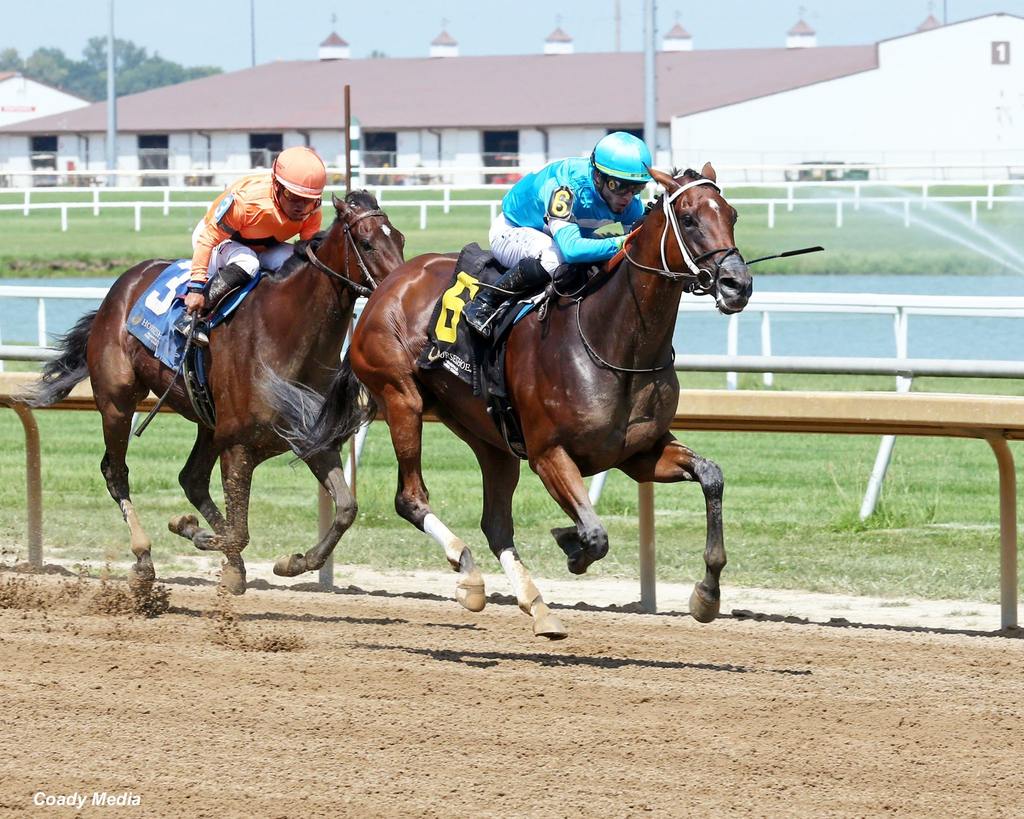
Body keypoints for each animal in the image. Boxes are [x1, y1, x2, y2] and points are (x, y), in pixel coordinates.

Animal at [24, 189, 403, 593]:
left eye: (400, 239)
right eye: (366, 242)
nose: (395, 290)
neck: (283, 333)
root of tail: (122, 285)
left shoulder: (308, 435)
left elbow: (346, 508)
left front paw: (293, 561)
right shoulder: (238, 444)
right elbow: (239, 532)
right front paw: (193, 530)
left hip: (206, 420)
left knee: (191, 478)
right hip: (117, 401)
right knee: (116, 472)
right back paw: (144, 557)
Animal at [280, 164, 753, 638]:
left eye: (732, 214)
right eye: (689, 220)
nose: (738, 284)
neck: (613, 340)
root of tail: (386, 286)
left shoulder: (638, 453)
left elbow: (711, 476)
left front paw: (706, 595)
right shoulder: (549, 454)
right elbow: (595, 534)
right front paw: (572, 544)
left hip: (490, 438)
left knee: (495, 523)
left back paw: (535, 605)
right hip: (401, 397)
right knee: (411, 498)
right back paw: (467, 573)